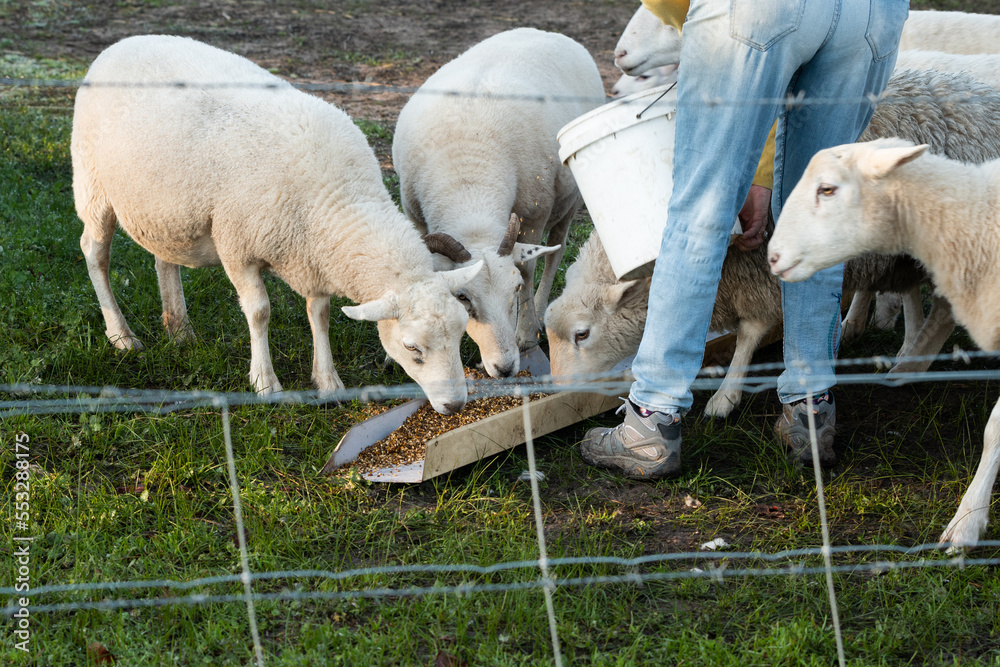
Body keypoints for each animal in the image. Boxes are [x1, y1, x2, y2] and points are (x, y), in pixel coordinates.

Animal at [72, 36, 482, 414]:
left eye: (462, 329)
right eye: (413, 347)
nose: (455, 405)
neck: (339, 196)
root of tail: (123, 43)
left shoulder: (313, 254)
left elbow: (320, 314)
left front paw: (328, 382)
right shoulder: (237, 247)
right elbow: (259, 312)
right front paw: (265, 383)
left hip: (168, 209)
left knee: (164, 257)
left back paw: (180, 330)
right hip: (92, 183)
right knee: (95, 254)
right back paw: (121, 335)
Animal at [392, 27, 604, 376]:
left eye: (514, 290)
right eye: (462, 297)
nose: (504, 368)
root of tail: (547, 32)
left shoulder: (533, 214)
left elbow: (529, 269)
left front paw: (525, 335)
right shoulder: (414, 216)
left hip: (570, 199)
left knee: (555, 253)